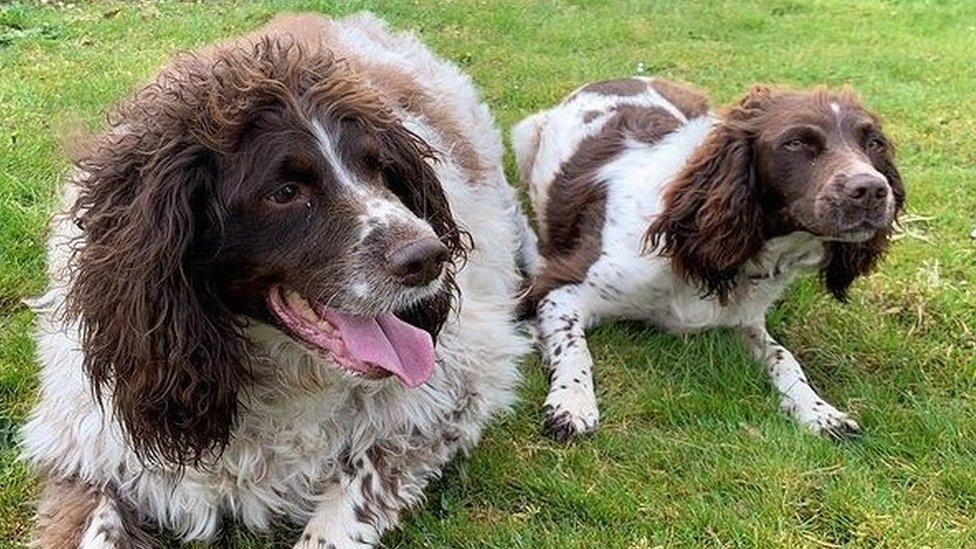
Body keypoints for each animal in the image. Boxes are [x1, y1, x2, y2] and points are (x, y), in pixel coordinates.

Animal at [19, 12, 532, 548]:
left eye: (381, 170)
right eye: (286, 192)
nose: (430, 257)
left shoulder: (453, 393)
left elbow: (350, 498)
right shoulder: (88, 445)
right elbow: (98, 522)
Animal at [516, 77, 904, 440]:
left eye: (873, 143)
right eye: (796, 143)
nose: (872, 190)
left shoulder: (744, 320)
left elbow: (784, 357)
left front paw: (820, 411)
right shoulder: (559, 289)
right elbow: (575, 347)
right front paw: (572, 401)